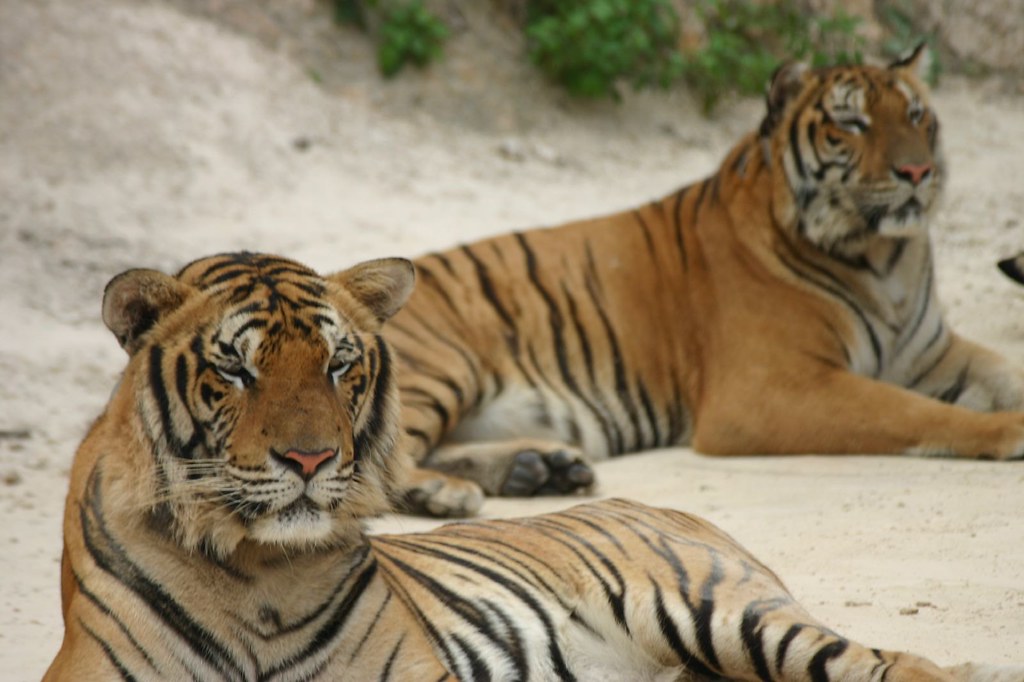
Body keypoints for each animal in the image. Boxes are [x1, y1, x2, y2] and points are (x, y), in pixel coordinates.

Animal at [46, 252, 1018, 681]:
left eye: (338, 364)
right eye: (238, 369)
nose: (312, 456)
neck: (257, 576)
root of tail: (672, 508)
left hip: (725, 613)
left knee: (893, 664)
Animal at [389, 45, 1024, 518]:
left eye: (915, 116)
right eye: (851, 123)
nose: (918, 171)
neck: (885, 256)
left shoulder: (932, 353)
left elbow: (1003, 371)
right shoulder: (771, 389)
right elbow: (912, 413)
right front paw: (1010, 431)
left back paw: (542, 468)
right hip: (440, 366)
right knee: (387, 456)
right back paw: (448, 491)